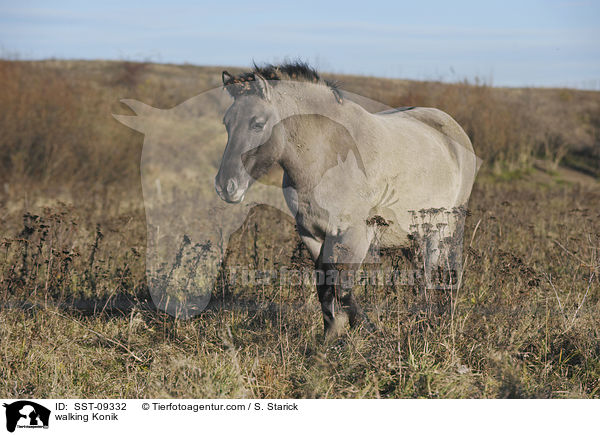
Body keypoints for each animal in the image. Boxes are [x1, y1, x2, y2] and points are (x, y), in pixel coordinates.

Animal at [216, 62, 478, 338]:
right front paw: (330, 336)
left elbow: (343, 289)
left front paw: (368, 331)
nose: (225, 186)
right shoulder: (312, 234)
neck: (327, 157)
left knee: (438, 273)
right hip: (414, 236)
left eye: (257, 124)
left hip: (443, 230)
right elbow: (325, 287)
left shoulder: (354, 235)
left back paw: (433, 321)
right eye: (227, 123)